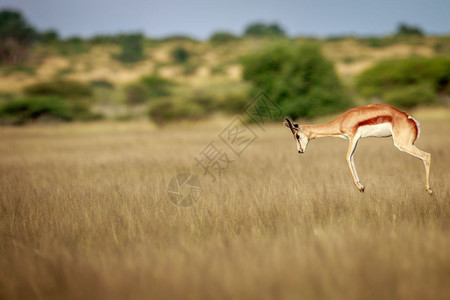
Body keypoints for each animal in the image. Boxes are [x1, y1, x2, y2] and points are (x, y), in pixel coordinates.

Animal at [284, 103, 432, 195]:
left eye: (297, 136)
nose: (299, 151)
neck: (342, 121)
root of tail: (411, 119)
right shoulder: (355, 140)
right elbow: (352, 158)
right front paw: (362, 186)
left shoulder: (353, 137)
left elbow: (347, 157)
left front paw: (360, 188)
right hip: (408, 145)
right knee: (423, 158)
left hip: (403, 145)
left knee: (427, 156)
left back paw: (429, 191)